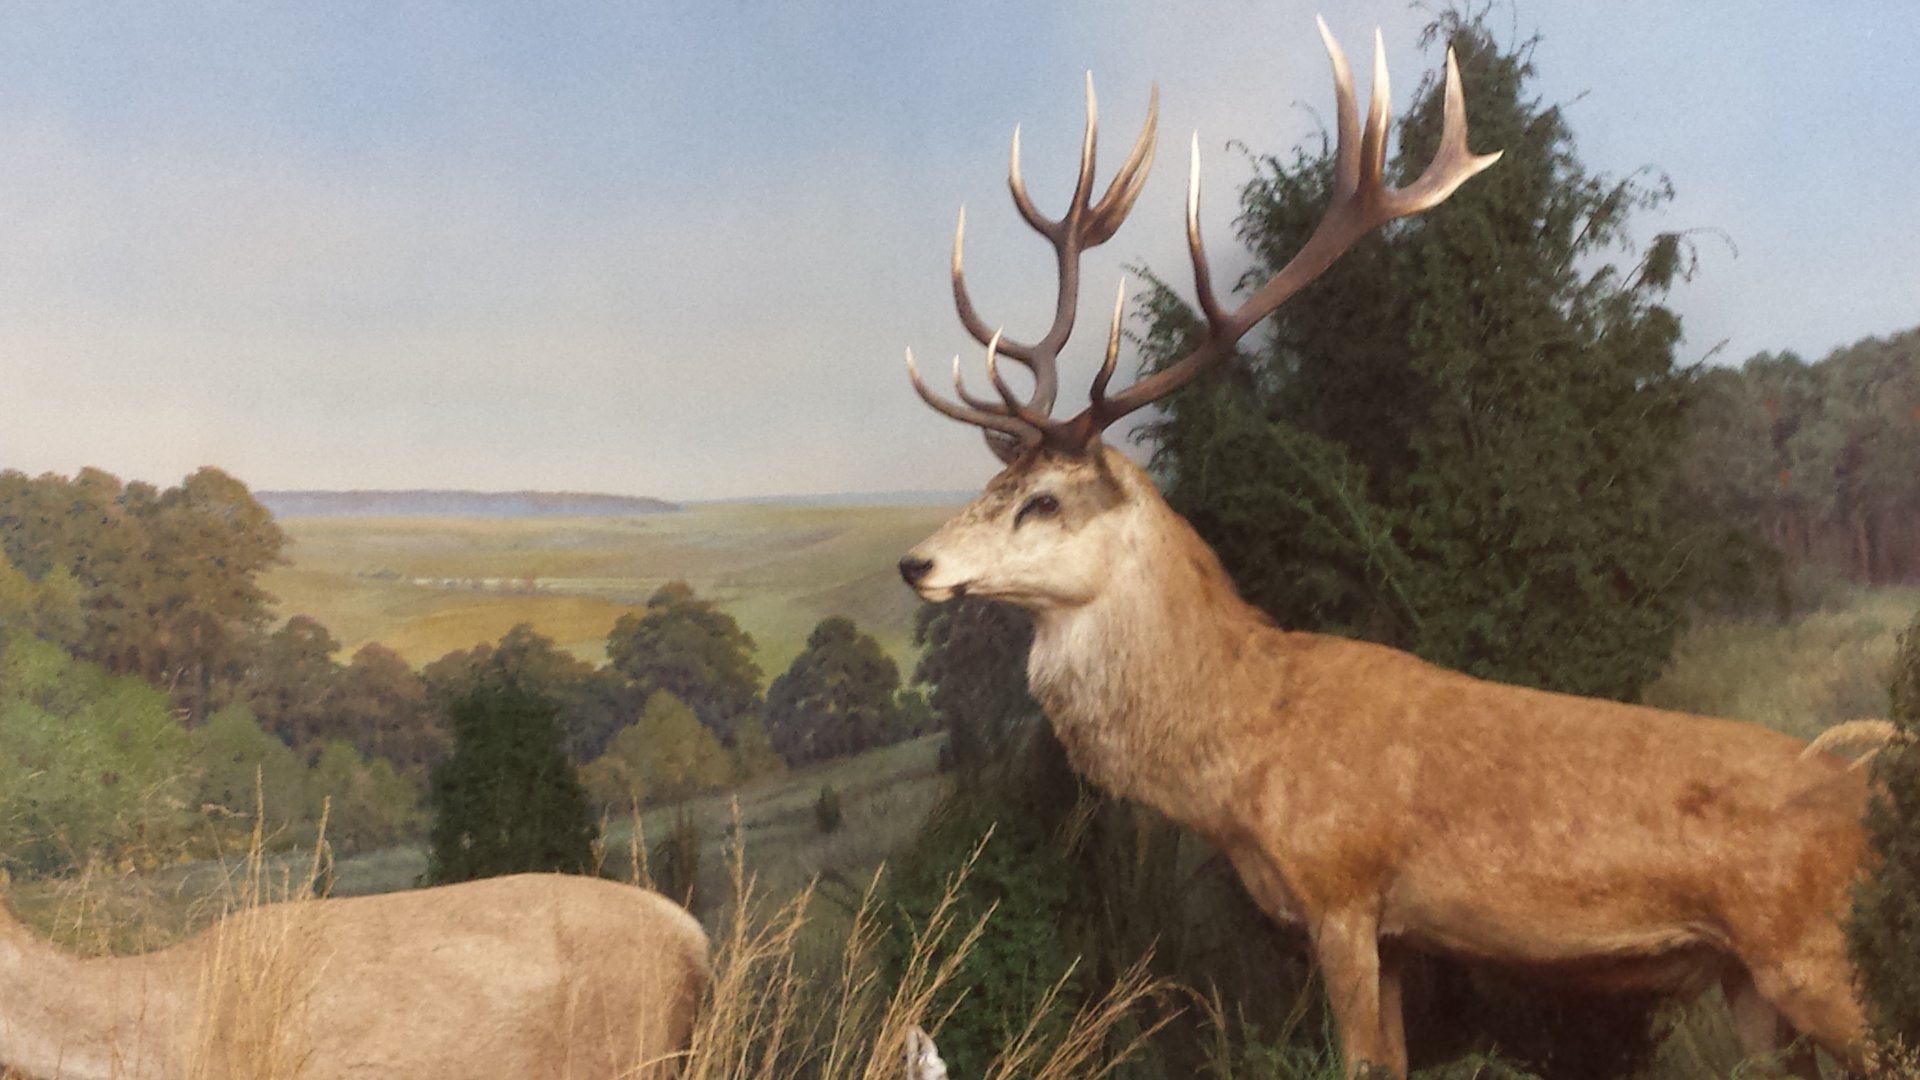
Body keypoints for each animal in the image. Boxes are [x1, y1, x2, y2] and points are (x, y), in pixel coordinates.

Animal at [897, 19, 1876, 1078]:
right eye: (986, 487)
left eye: (1041, 500)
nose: (917, 564)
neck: (1244, 759)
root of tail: (1863, 793)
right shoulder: (1401, 934)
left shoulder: (1341, 893)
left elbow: (1357, 1057)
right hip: (1750, 984)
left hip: (1816, 954)